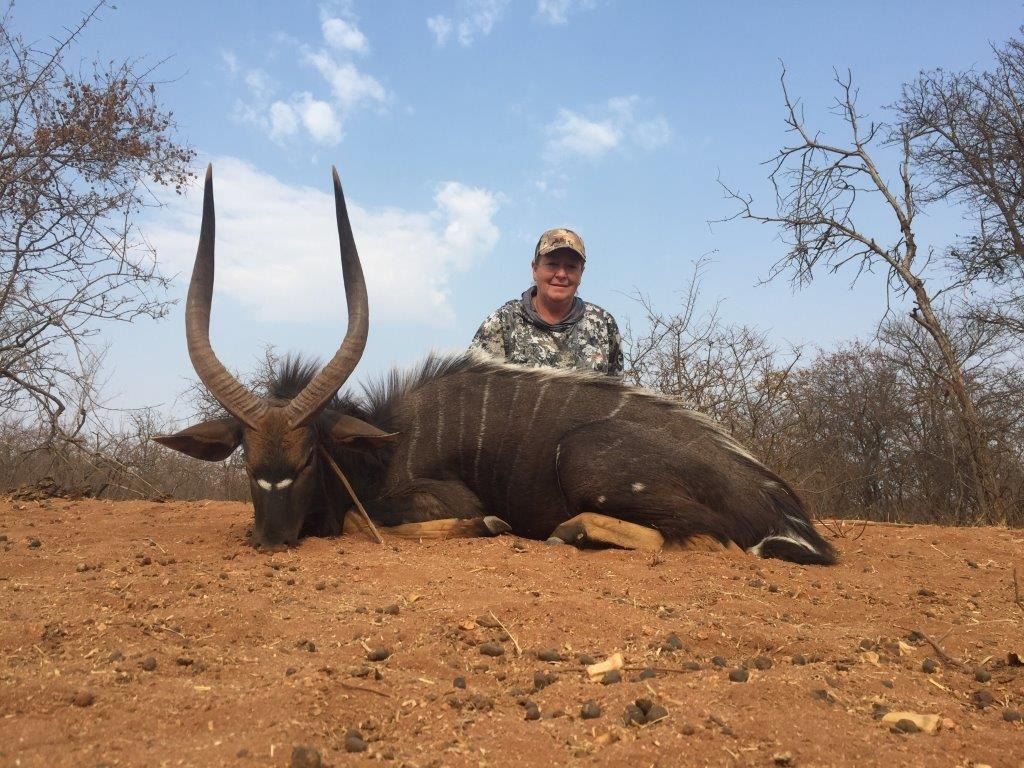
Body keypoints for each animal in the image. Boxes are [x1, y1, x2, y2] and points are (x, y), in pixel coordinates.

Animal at [156, 166, 836, 565]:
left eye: (305, 460)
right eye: (248, 461)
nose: (270, 538)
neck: (377, 446)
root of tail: (775, 503)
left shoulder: (434, 497)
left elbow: (360, 519)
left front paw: (490, 522)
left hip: (586, 457)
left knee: (701, 539)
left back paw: (570, 531)